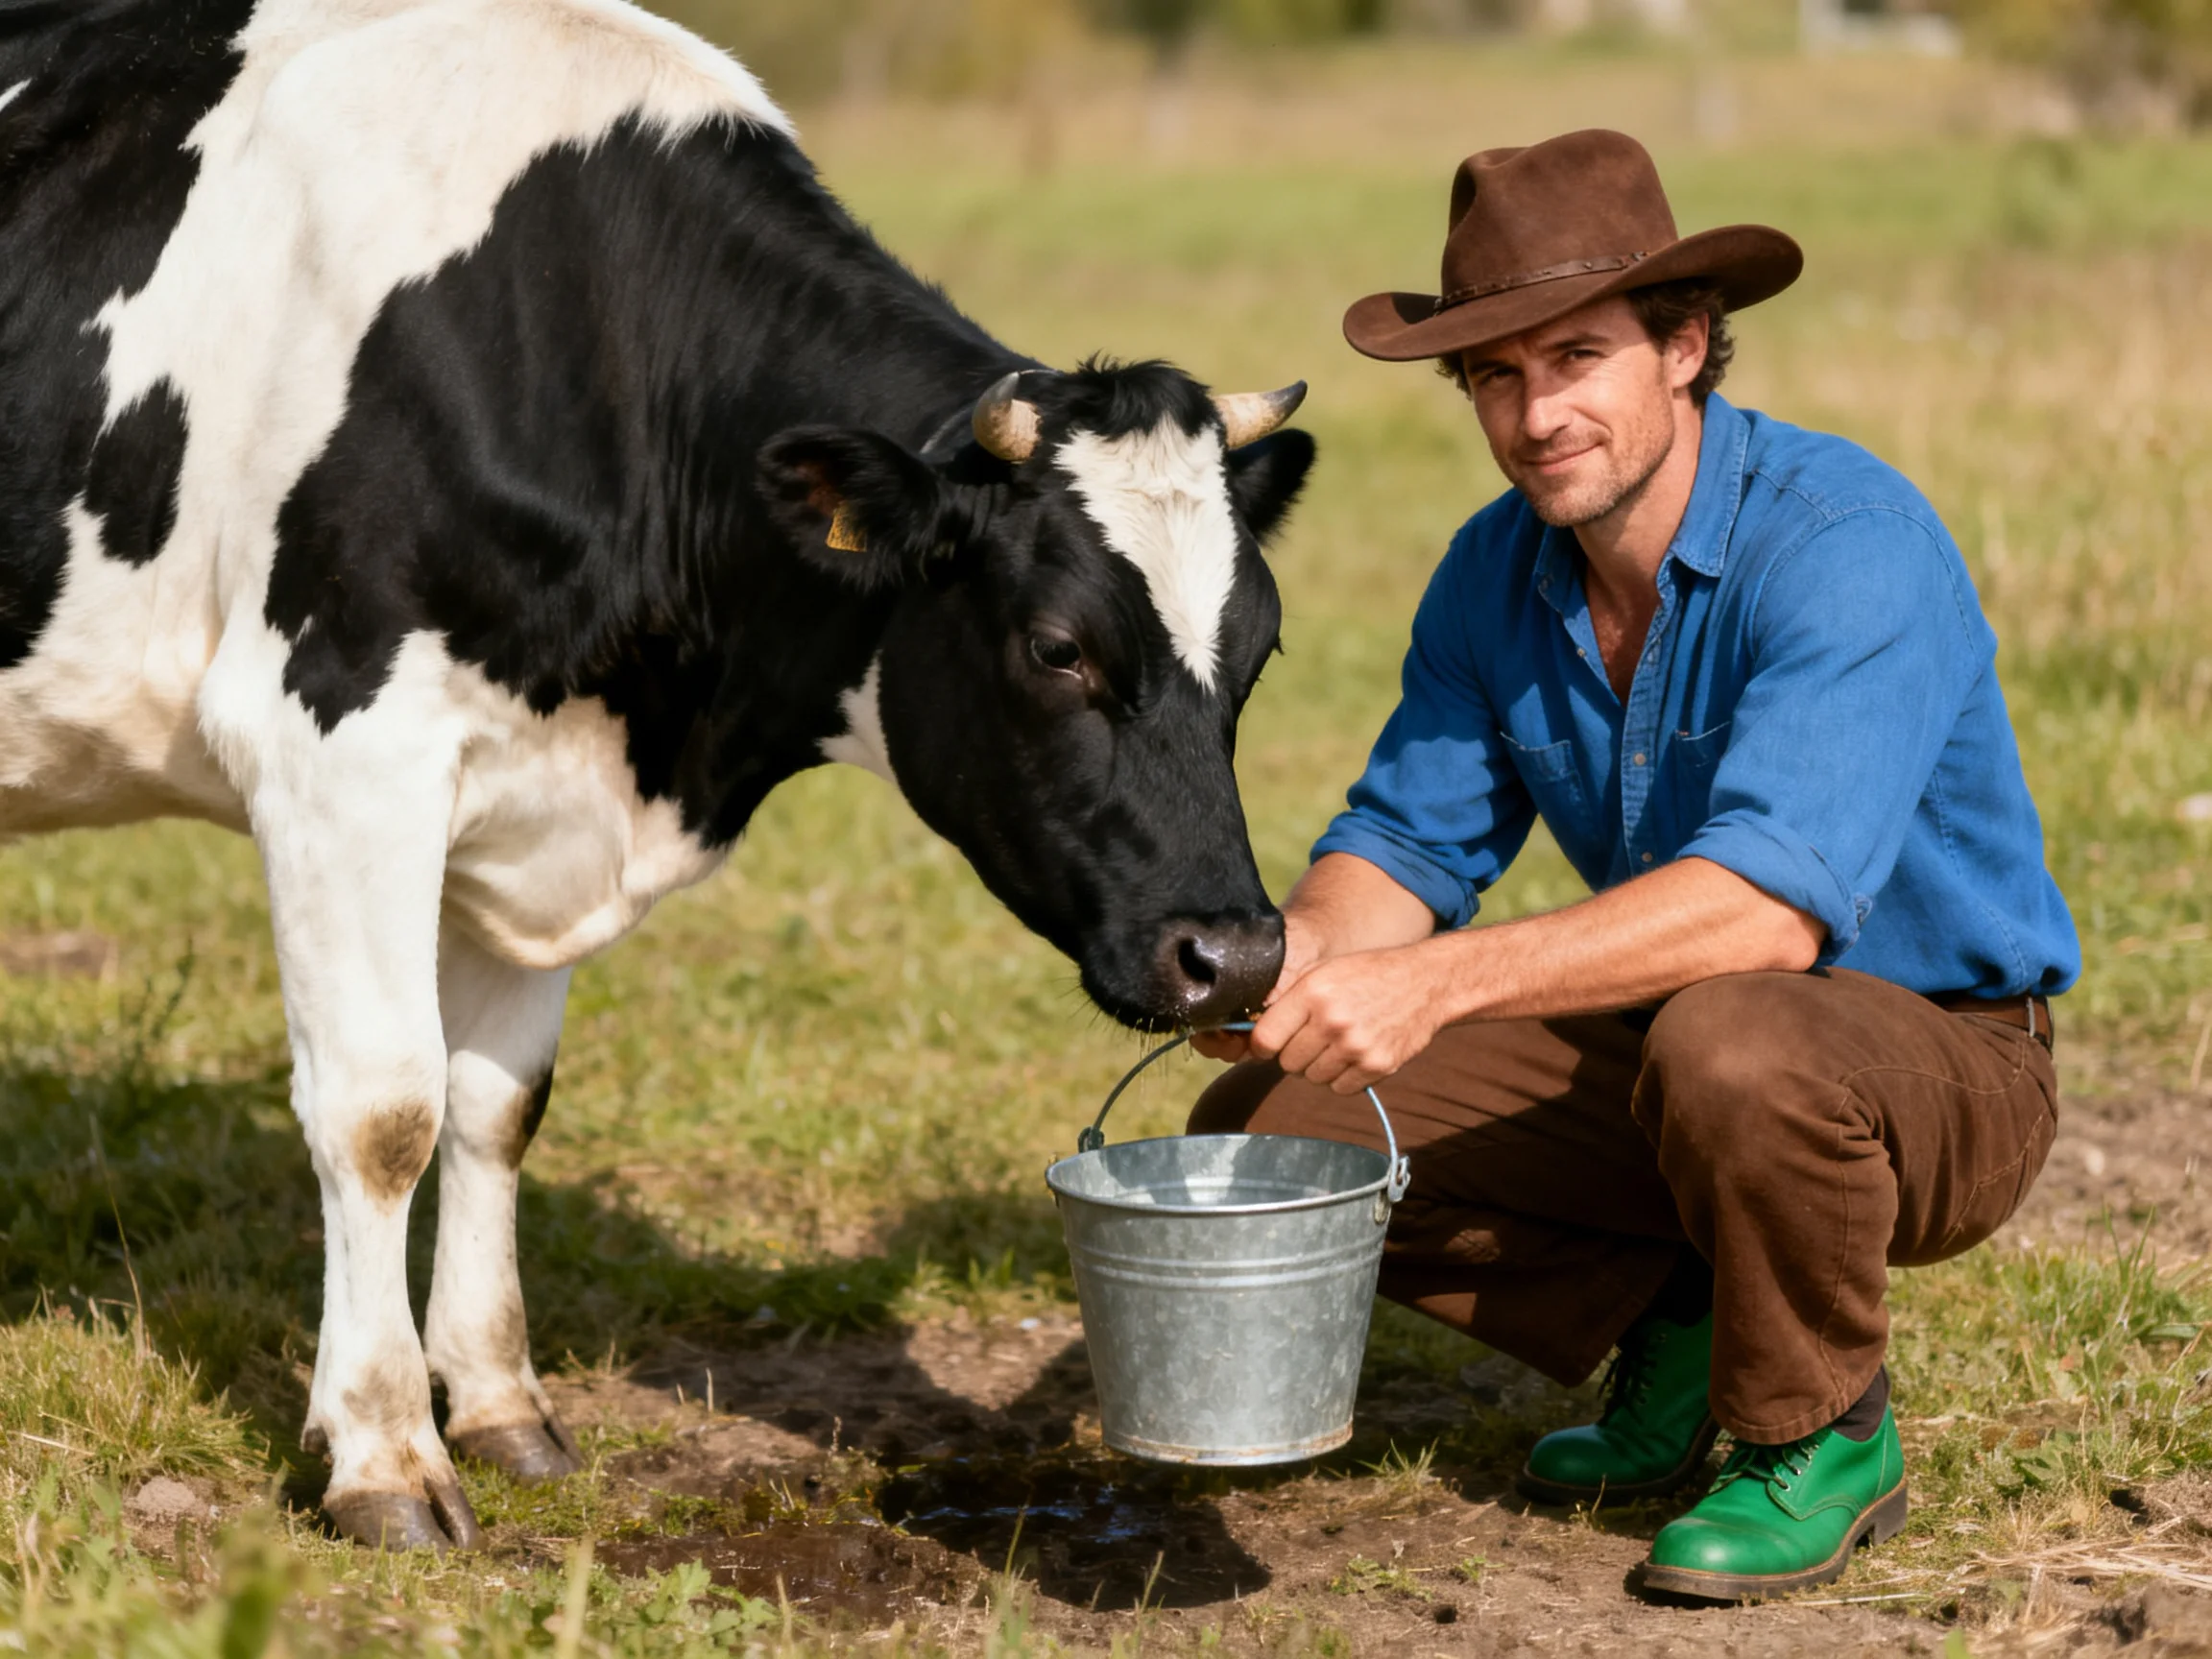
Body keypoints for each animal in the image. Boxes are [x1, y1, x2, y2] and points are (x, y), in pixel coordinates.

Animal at [0, 0, 1315, 1548]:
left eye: (1262, 643)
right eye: (1057, 647)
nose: (1235, 957)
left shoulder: (536, 791)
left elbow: (497, 1104)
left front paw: (499, 1405)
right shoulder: (338, 744)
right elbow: (384, 1110)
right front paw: (384, 1454)